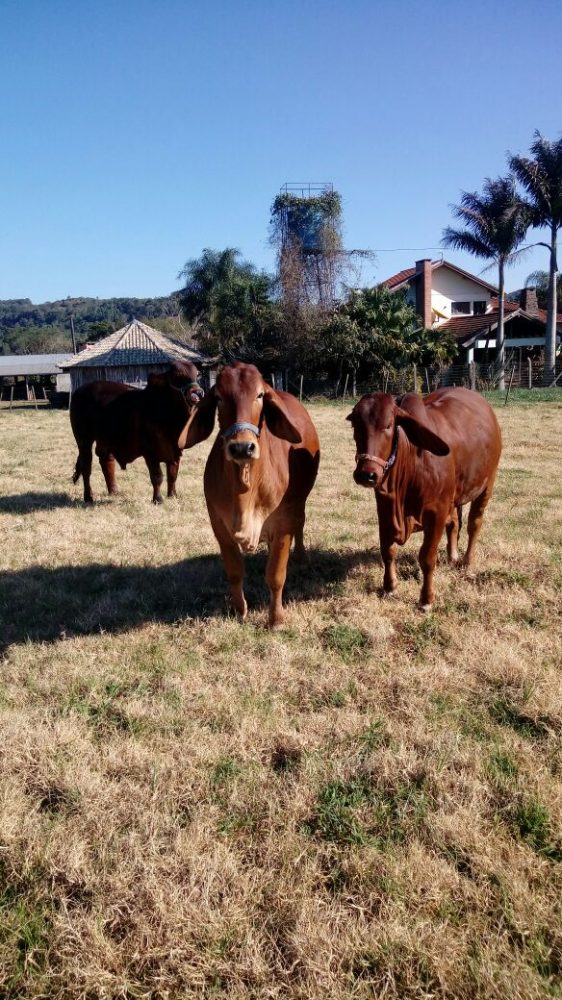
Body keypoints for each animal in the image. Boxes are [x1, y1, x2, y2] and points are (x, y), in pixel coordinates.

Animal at [69, 360, 201, 504]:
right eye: (177, 376)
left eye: (196, 374)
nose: (197, 392)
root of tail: (79, 391)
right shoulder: (150, 452)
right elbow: (157, 476)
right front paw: (158, 499)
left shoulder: (176, 452)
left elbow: (172, 475)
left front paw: (172, 495)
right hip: (83, 440)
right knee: (86, 466)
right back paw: (88, 496)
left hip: (105, 439)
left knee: (106, 460)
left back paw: (114, 491)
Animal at [180, 360, 320, 624]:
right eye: (219, 397)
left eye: (260, 395)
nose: (242, 447)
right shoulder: (219, 525)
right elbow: (235, 571)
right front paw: (239, 610)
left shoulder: (284, 522)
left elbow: (275, 574)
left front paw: (275, 619)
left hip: (300, 502)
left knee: (301, 523)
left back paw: (302, 557)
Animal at [346, 386, 498, 608]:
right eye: (355, 424)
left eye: (389, 425)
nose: (367, 474)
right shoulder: (384, 509)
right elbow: (387, 551)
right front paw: (389, 587)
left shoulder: (436, 513)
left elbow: (427, 557)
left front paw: (426, 599)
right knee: (454, 523)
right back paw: (452, 556)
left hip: (487, 485)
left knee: (474, 524)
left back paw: (467, 562)